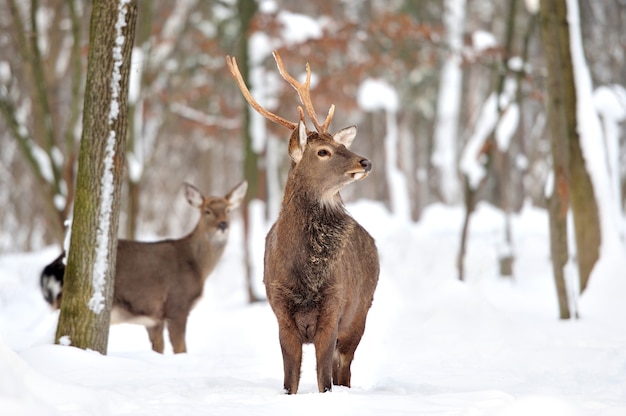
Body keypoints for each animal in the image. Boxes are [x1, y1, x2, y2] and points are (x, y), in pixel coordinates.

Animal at [225, 52, 378, 394]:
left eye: (342, 145)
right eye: (323, 151)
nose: (365, 161)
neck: (304, 275)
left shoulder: (334, 308)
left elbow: (325, 381)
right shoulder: (280, 312)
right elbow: (289, 381)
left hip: (360, 313)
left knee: (344, 371)